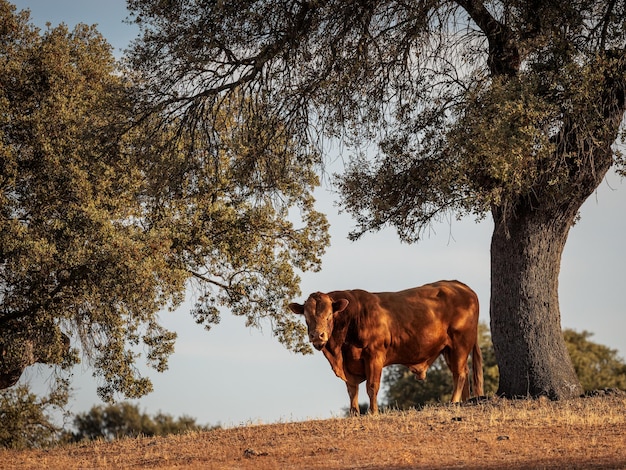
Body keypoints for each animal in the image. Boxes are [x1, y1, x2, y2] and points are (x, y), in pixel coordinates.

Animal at [288, 280, 482, 414]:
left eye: (329, 316)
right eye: (306, 317)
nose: (317, 336)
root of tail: (461, 286)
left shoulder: (374, 355)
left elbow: (372, 386)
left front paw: (373, 412)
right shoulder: (348, 364)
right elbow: (352, 390)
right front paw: (354, 413)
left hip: (460, 344)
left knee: (460, 374)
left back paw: (454, 402)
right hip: (449, 349)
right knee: (463, 373)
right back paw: (465, 402)